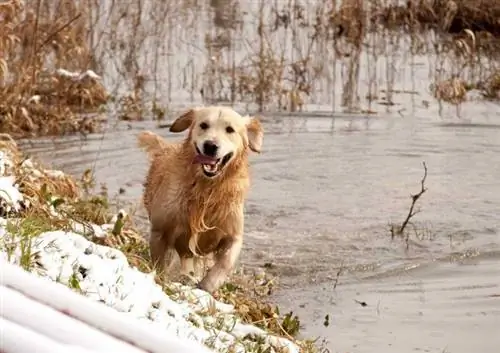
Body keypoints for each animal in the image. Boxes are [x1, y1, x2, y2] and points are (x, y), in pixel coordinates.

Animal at [135, 106, 264, 292]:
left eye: (230, 129)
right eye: (203, 125)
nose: (210, 146)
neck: (206, 188)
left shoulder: (233, 233)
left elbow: (224, 263)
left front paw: (206, 285)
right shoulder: (160, 231)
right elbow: (160, 262)